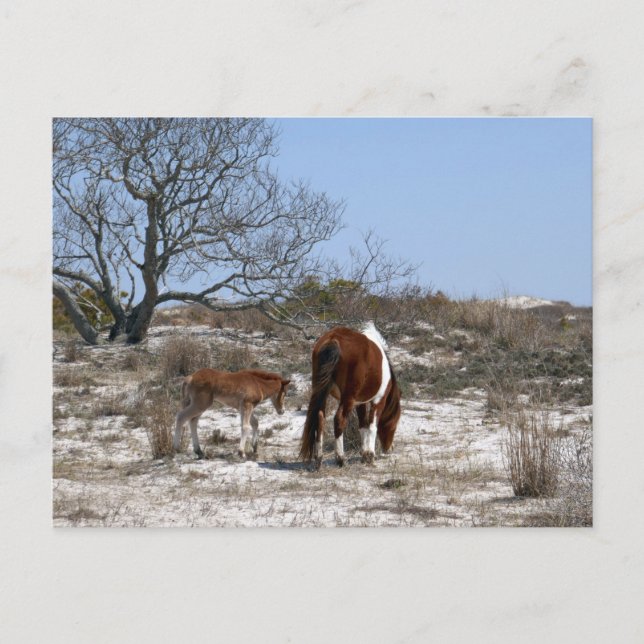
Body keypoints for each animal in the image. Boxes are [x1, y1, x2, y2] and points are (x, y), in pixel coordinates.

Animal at [299, 321, 401, 469]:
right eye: (394, 424)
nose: (389, 448)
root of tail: (333, 339)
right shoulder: (378, 401)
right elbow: (372, 426)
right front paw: (370, 456)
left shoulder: (360, 403)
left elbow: (362, 425)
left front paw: (364, 454)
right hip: (347, 398)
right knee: (339, 419)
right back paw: (340, 458)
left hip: (321, 391)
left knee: (320, 417)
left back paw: (319, 458)